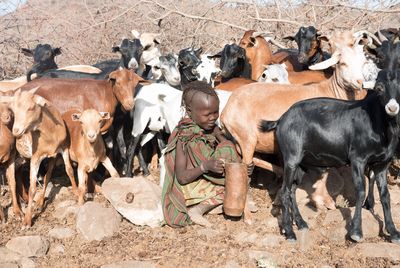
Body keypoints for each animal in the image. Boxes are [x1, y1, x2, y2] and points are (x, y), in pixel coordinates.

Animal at [260, 68, 400, 243]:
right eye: (379, 88)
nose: (392, 108)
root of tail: (280, 120)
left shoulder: (382, 164)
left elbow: (385, 195)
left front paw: (393, 232)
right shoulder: (358, 159)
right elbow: (360, 190)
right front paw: (356, 231)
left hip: (302, 164)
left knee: (291, 189)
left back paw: (300, 223)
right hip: (291, 157)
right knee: (285, 191)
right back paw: (290, 232)